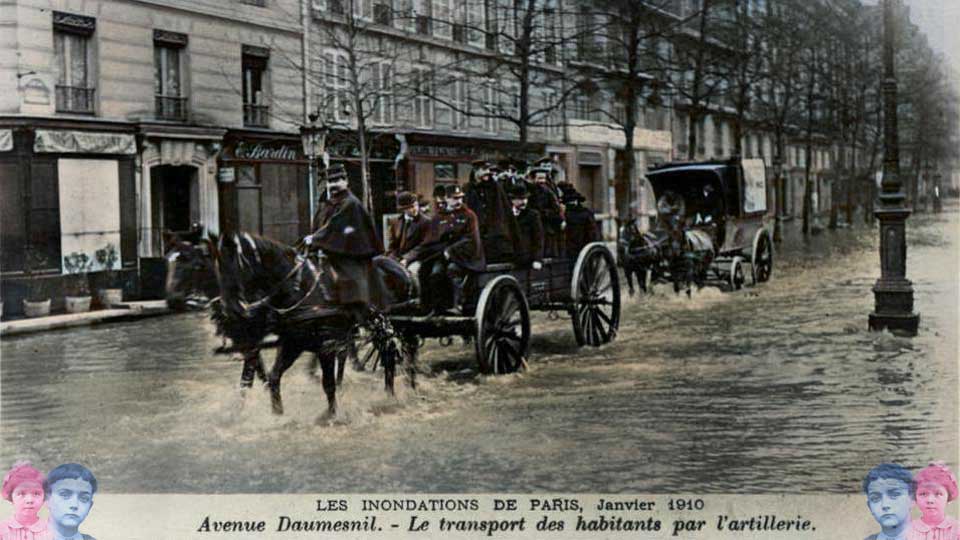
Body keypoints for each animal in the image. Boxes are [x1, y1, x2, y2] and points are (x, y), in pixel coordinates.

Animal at [165, 230, 412, 416]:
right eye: (169, 262)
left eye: (193, 264)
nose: (172, 300)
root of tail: (398, 265)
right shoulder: (272, 342)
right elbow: (260, 377)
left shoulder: (261, 340)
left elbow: (252, 377)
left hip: (385, 326)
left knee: (388, 353)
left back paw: (391, 391)